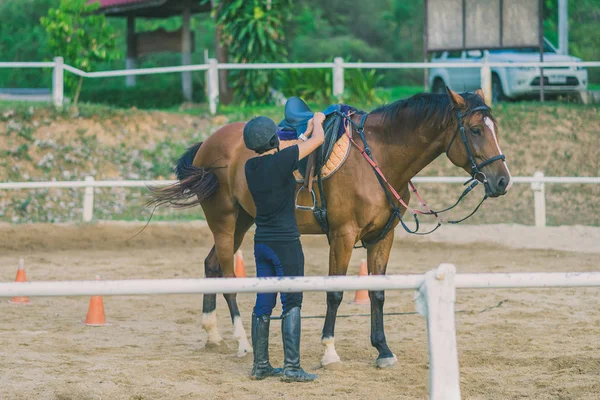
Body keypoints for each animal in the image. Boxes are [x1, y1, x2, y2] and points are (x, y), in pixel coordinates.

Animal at [149, 87, 510, 368]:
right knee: (227, 276)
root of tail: (207, 143)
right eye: (475, 130)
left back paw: (212, 333)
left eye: (493, 128)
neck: (378, 158)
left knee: (211, 265)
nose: (502, 180)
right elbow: (335, 292)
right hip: (224, 221)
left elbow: (377, 293)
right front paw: (329, 352)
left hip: (243, 220)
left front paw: (383, 350)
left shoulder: (382, 237)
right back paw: (241, 342)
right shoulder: (343, 236)